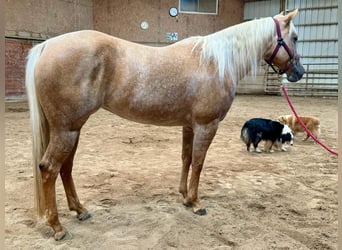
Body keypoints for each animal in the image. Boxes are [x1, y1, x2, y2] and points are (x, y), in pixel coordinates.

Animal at [25, 10, 304, 240]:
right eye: (295, 37)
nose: (299, 72)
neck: (215, 61)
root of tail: (48, 46)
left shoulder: (189, 126)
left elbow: (186, 158)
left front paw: (184, 196)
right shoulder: (207, 125)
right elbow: (199, 162)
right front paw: (196, 202)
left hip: (72, 129)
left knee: (66, 168)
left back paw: (80, 210)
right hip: (66, 130)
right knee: (49, 169)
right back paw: (58, 227)